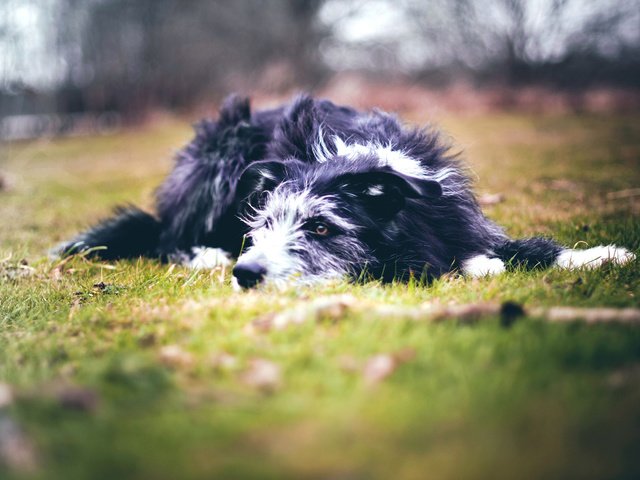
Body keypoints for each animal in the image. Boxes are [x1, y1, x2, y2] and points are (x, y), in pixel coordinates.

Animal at [53, 95, 636, 286]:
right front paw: (478, 266)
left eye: (320, 227)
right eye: (266, 224)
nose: (248, 271)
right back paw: (206, 254)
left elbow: (523, 246)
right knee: (168, 237)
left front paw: (600, 254)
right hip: (221, 149)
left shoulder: (455, 216)